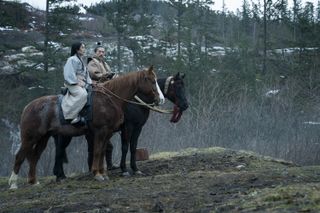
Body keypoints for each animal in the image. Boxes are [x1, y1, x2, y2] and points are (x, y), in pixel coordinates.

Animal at [8, 65, 162, 189]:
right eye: (151, 80)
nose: (160, 99)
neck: (109, 99)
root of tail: (28, 107)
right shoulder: (109, 131)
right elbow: (102, 151)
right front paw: (102, 173)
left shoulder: (113, 132)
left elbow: (105, 151)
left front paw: (104, 173)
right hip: (31, 138)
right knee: (20, 156)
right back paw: (14, 184)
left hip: (44, 138)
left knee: (36, 157)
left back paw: (35, 181)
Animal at [52, 72, 188, 181]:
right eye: (177, 86)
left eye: (183, 85)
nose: (185, 105)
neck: (135, 100)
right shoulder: (127, 127)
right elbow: (125, 147)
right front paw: (124, 169)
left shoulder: (138, 127)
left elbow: (133, 147)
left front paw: (135, 168)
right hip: (66, 135)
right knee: (59, 151)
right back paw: (61, 176)